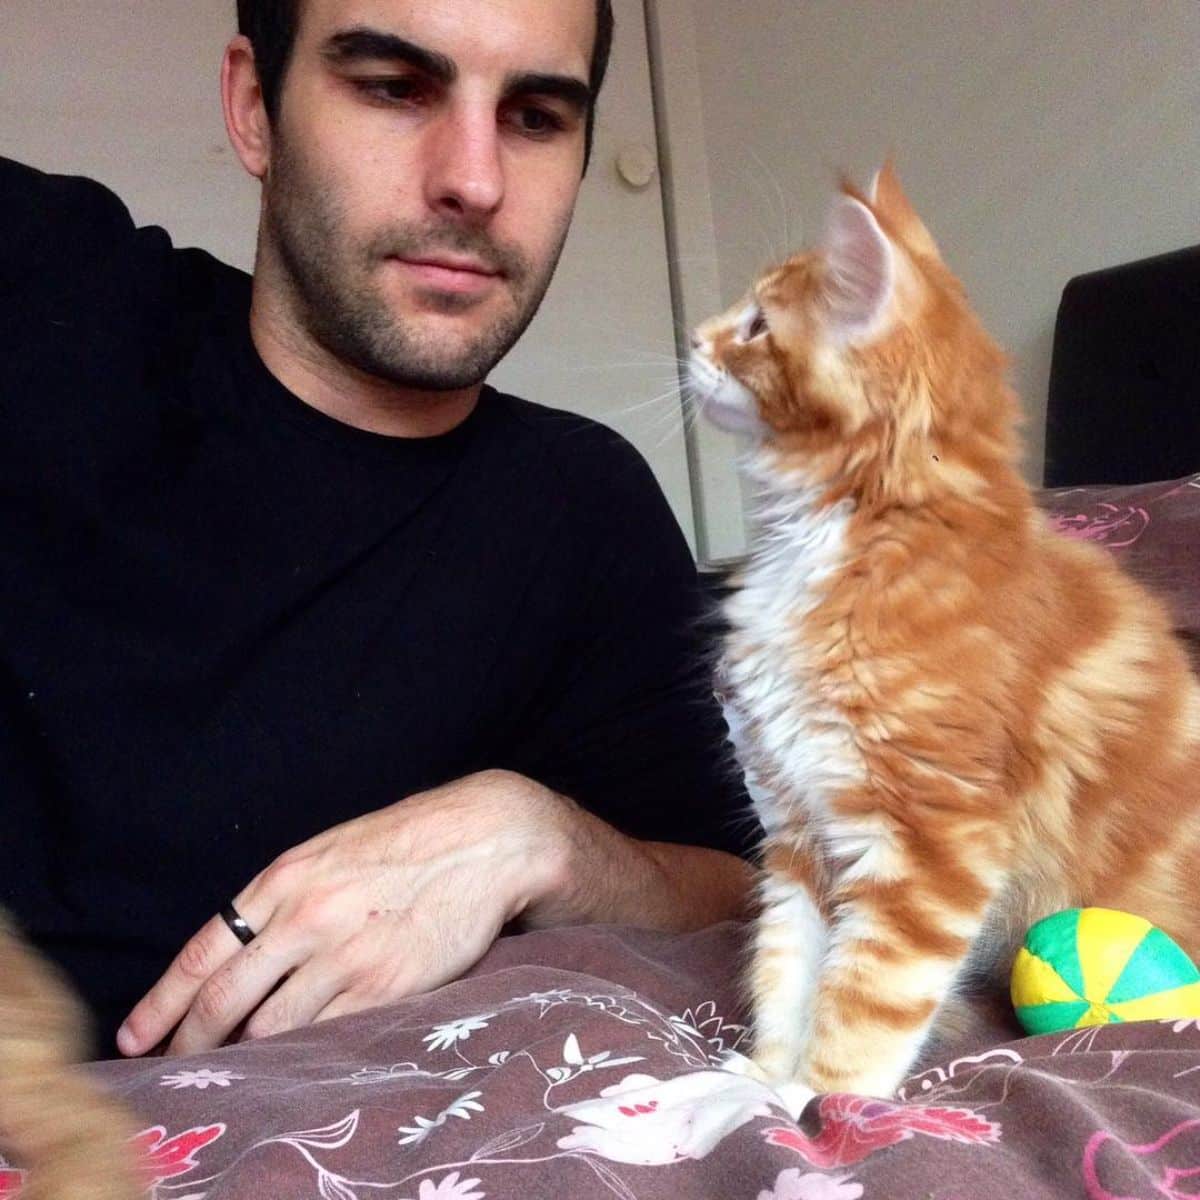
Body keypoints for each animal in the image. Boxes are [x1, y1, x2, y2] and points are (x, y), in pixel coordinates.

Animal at [691, 164, 1200, 1099]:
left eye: (756, 326)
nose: (697, 336)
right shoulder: (798, 831)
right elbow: (788, 966)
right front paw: (761, 1079)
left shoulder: (929, 843)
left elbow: (864, 1002)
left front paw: (816, 1103)